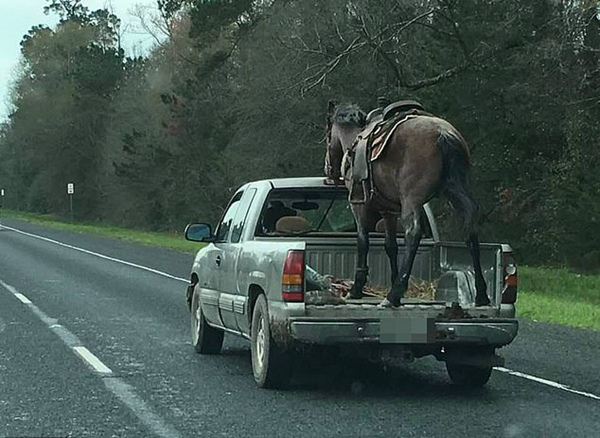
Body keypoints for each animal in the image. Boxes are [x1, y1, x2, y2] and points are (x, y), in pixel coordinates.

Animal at [326, 101, 490, 308]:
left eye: (327, 135)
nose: (328, 170)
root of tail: (443, 133)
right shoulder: (388, 211)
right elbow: (391, 246)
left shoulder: (359, 206)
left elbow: (363, 242)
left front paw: (356, 289)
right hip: (456, 192)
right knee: (470, 228)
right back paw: (481, 294)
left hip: (411, 199)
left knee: (413, 232)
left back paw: (393, 295)